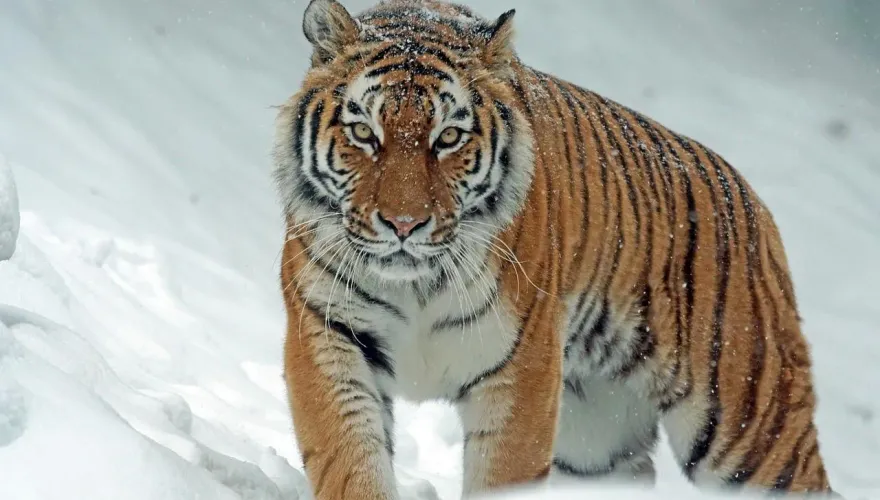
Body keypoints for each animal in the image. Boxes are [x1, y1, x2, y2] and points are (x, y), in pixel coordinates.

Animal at [273, 0, 834, 498]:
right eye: (363, 132)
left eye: (448, 137)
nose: (404, 224)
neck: (416, 286)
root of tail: (755, 205)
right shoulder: (328, 335)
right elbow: (351, 463)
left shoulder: (522, 369)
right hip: (596, 443)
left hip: (750, 428)